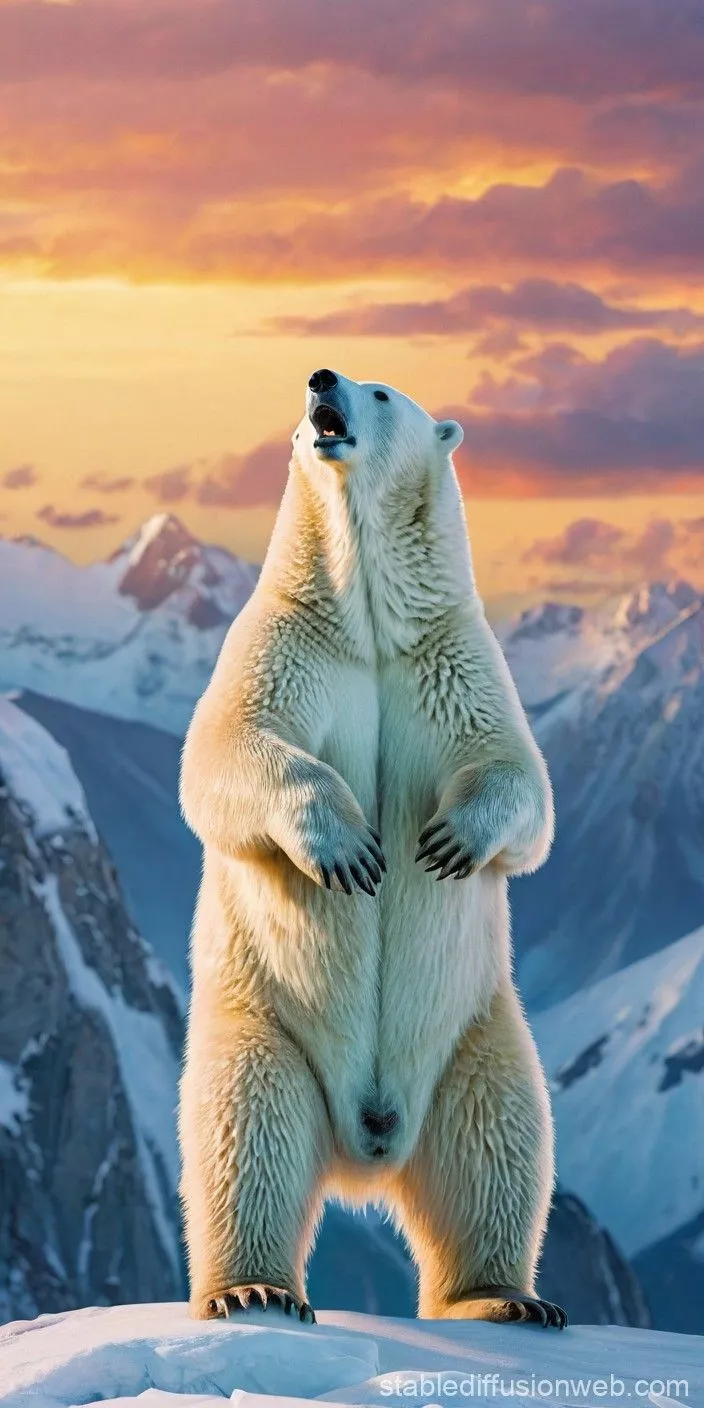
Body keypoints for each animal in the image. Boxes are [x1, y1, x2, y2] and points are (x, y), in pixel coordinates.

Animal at [178, 368, 565, 1329]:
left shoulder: (452, 657)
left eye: (382, 390)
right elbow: (227, 749)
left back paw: (505, 1298)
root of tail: (370, 1145)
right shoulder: (285, 641)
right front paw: (349, 850)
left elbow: (519, 778)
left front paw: (449, 841)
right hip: (267, 1025)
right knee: (247, 1134)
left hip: (476, 1030)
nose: (321, 379)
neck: (371, 627)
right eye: (323, 379)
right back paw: (253, 1288)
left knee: (498, 1142)